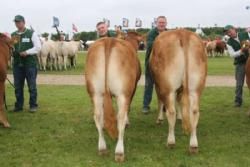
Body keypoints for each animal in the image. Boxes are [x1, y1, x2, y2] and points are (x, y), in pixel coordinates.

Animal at [85, 32, 142, 162]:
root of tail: (109, 41)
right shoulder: (133, 88)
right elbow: (128, 108)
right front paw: (128, 123)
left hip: (95, 92)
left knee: (98, 116)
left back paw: (102, 148)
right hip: (123, 93)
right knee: (120, 117)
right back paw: (119, 152)